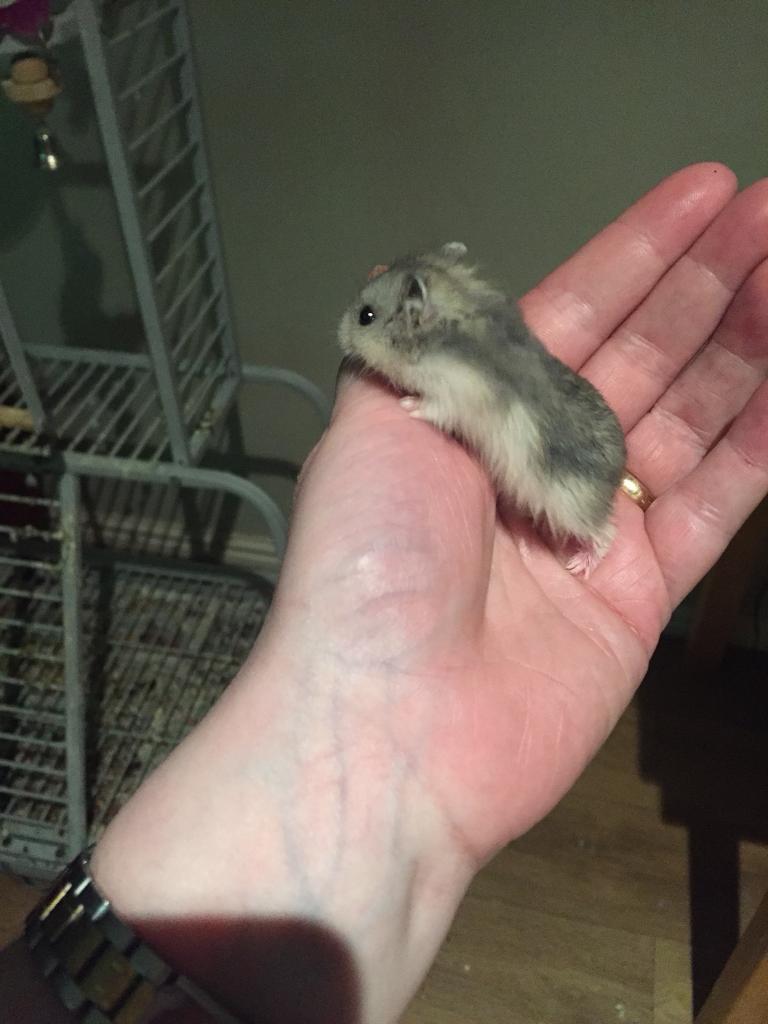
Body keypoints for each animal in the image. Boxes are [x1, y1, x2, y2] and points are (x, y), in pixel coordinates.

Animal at [337, 242, 626, 575]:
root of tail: (617, 476)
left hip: (569, 504)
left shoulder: (451, 396)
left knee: (606, 534)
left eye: (366, 316)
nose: (338, 334)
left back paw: (579, 565)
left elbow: (431, 409)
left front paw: (406, 404)